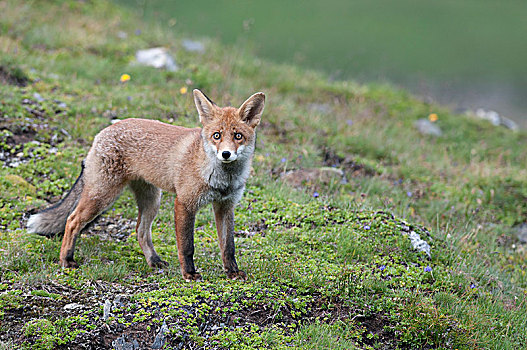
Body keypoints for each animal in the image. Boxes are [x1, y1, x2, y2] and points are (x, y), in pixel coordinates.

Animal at [26, 90, 266, 282]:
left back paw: (154, 261)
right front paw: (189, 273)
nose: (226, 154)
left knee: (140, 231)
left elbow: (228, 246)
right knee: (72, 220)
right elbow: (187, 246)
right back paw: (66, 259)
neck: (221, 179)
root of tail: (104, 131)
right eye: (217, 135)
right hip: (102, 196)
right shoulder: (185, 203)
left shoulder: (225, 206)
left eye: (238, 136)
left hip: (152, 201)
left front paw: (232, 272)